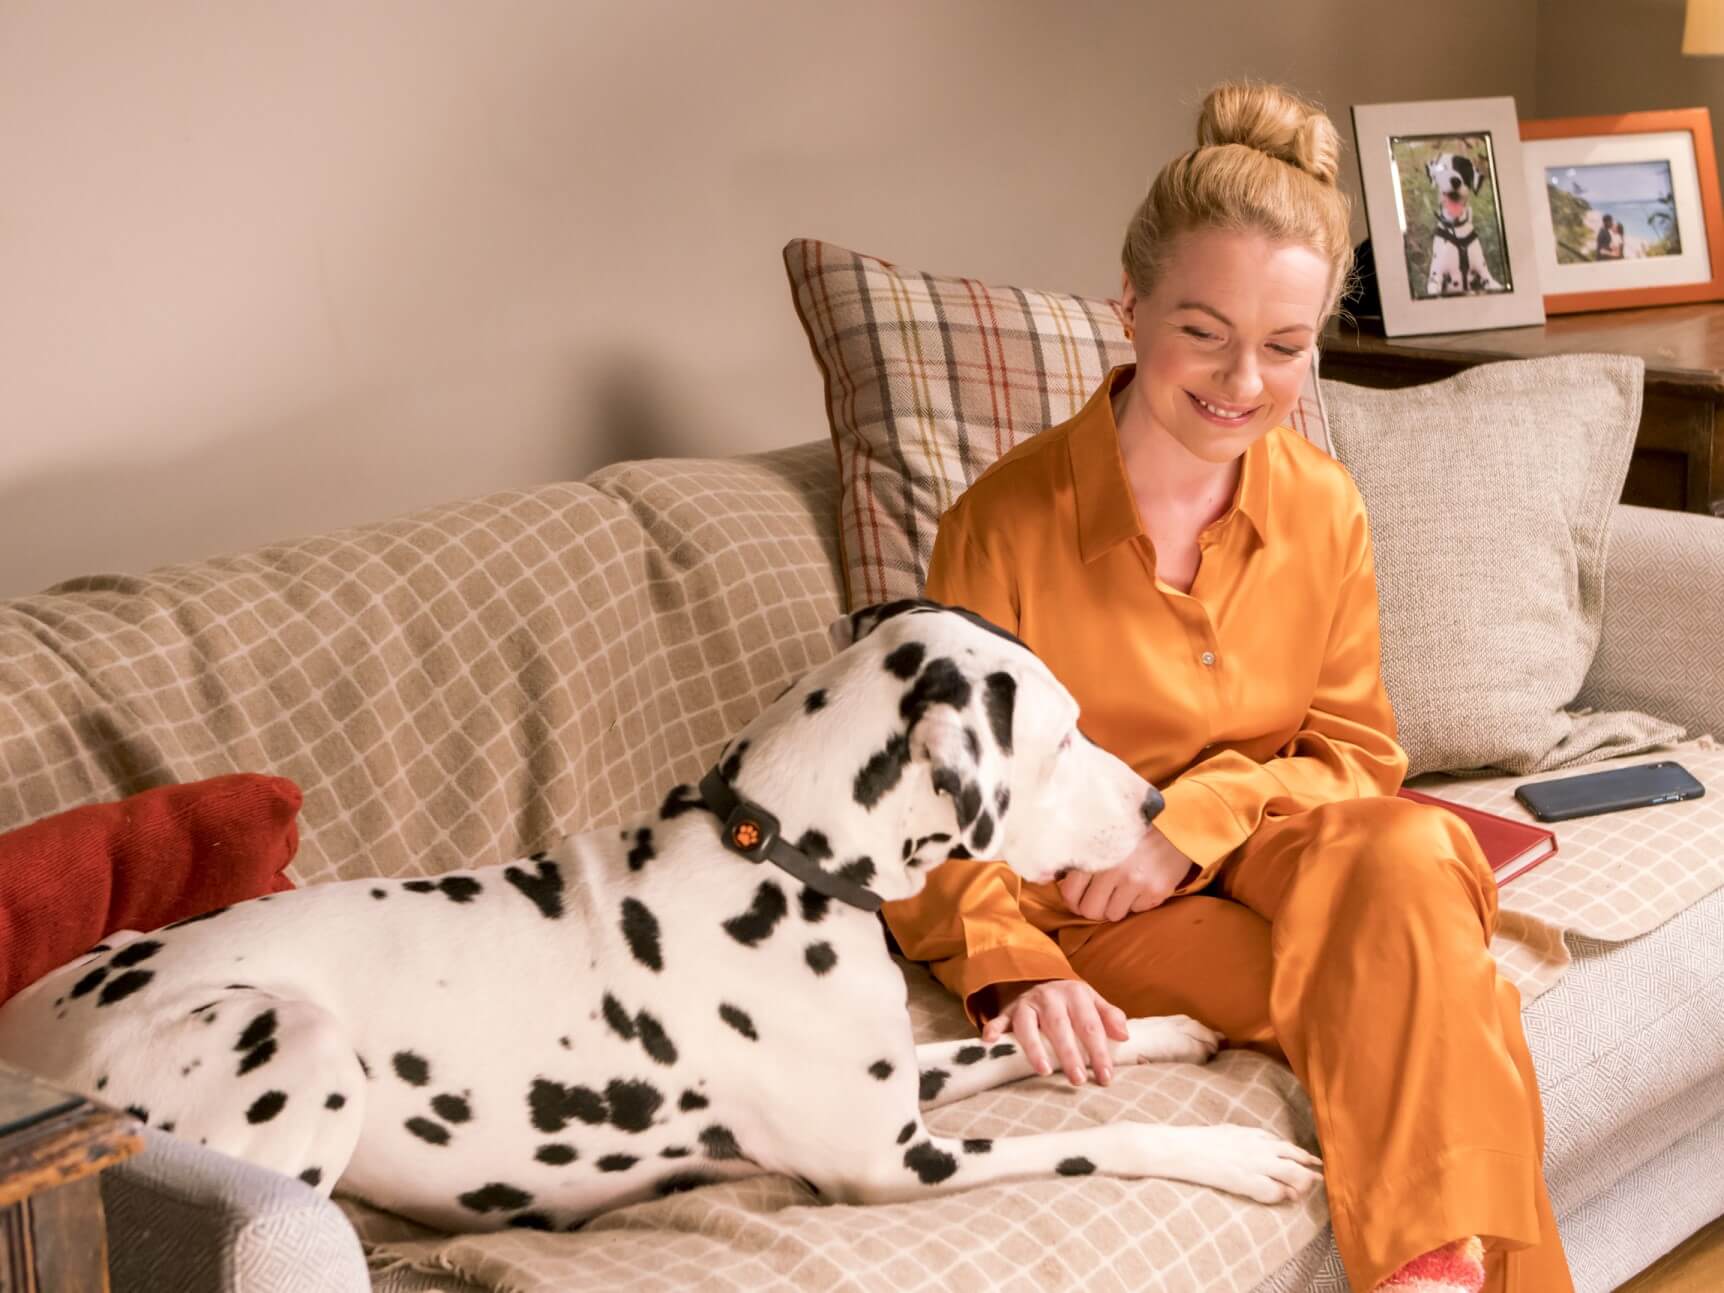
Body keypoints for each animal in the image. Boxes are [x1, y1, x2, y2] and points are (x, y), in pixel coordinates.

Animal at [0, 603, 1317, 1241]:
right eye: (1060, 738)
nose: (1154, 804)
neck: (781, 862)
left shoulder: (899, 1082)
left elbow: (1007, 1042)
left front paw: (1157, 1030)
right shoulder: (891, 1164)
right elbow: (1113, 1139)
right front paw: (1229, 1153)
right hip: (297, 1046)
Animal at [1420, 151, 1503, 296]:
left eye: (1464, 170)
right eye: (1444, 167)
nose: (1455, 181)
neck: (1457, 230)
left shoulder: (1485, 276)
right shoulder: (1436, 278)